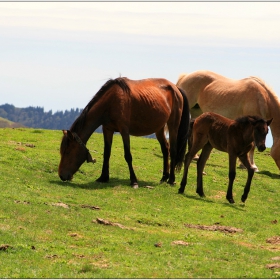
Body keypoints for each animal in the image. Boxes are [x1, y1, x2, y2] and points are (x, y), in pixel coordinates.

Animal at [59, 76, 190, 188]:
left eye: (68, 151)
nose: (61, 175)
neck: (111, 102)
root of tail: (175, 88)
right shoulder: (107, 129)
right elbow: (107, 153)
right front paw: (103, 177)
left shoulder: (124, 130)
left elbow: (128, 155)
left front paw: (134, 181)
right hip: (159, 127)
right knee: (165, 149)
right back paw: (164, 177)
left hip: (173, 125)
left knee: (173, 150)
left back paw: (171, 179)